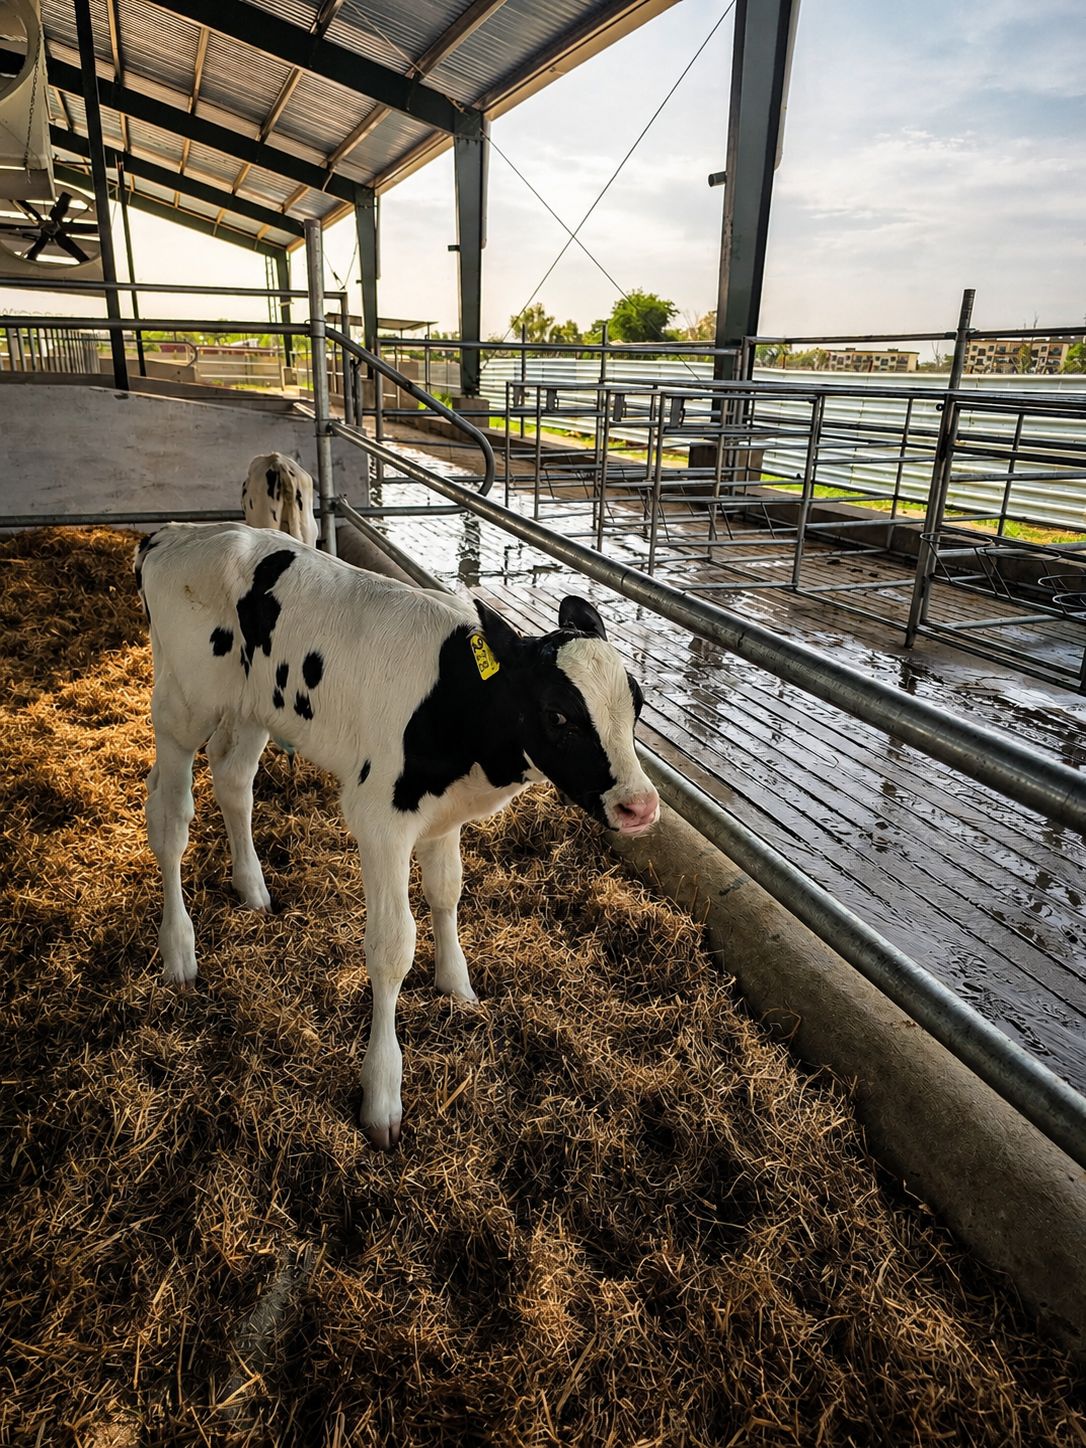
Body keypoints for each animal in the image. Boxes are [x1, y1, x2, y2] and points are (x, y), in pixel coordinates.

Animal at [135, 523, 659, 1149]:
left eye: (637, 702)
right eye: (558, 715)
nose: (640, 806)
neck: (460, 707)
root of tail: (175, 534)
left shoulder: (444, 815)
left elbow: (447, 893)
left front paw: (457, 986)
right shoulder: (380, 819)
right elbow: (391, 949)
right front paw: (383, 1093)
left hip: (254, 707)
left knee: (234, 780)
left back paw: (253, 888)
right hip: (180, 707)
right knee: (169, 817)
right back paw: (178, 951)